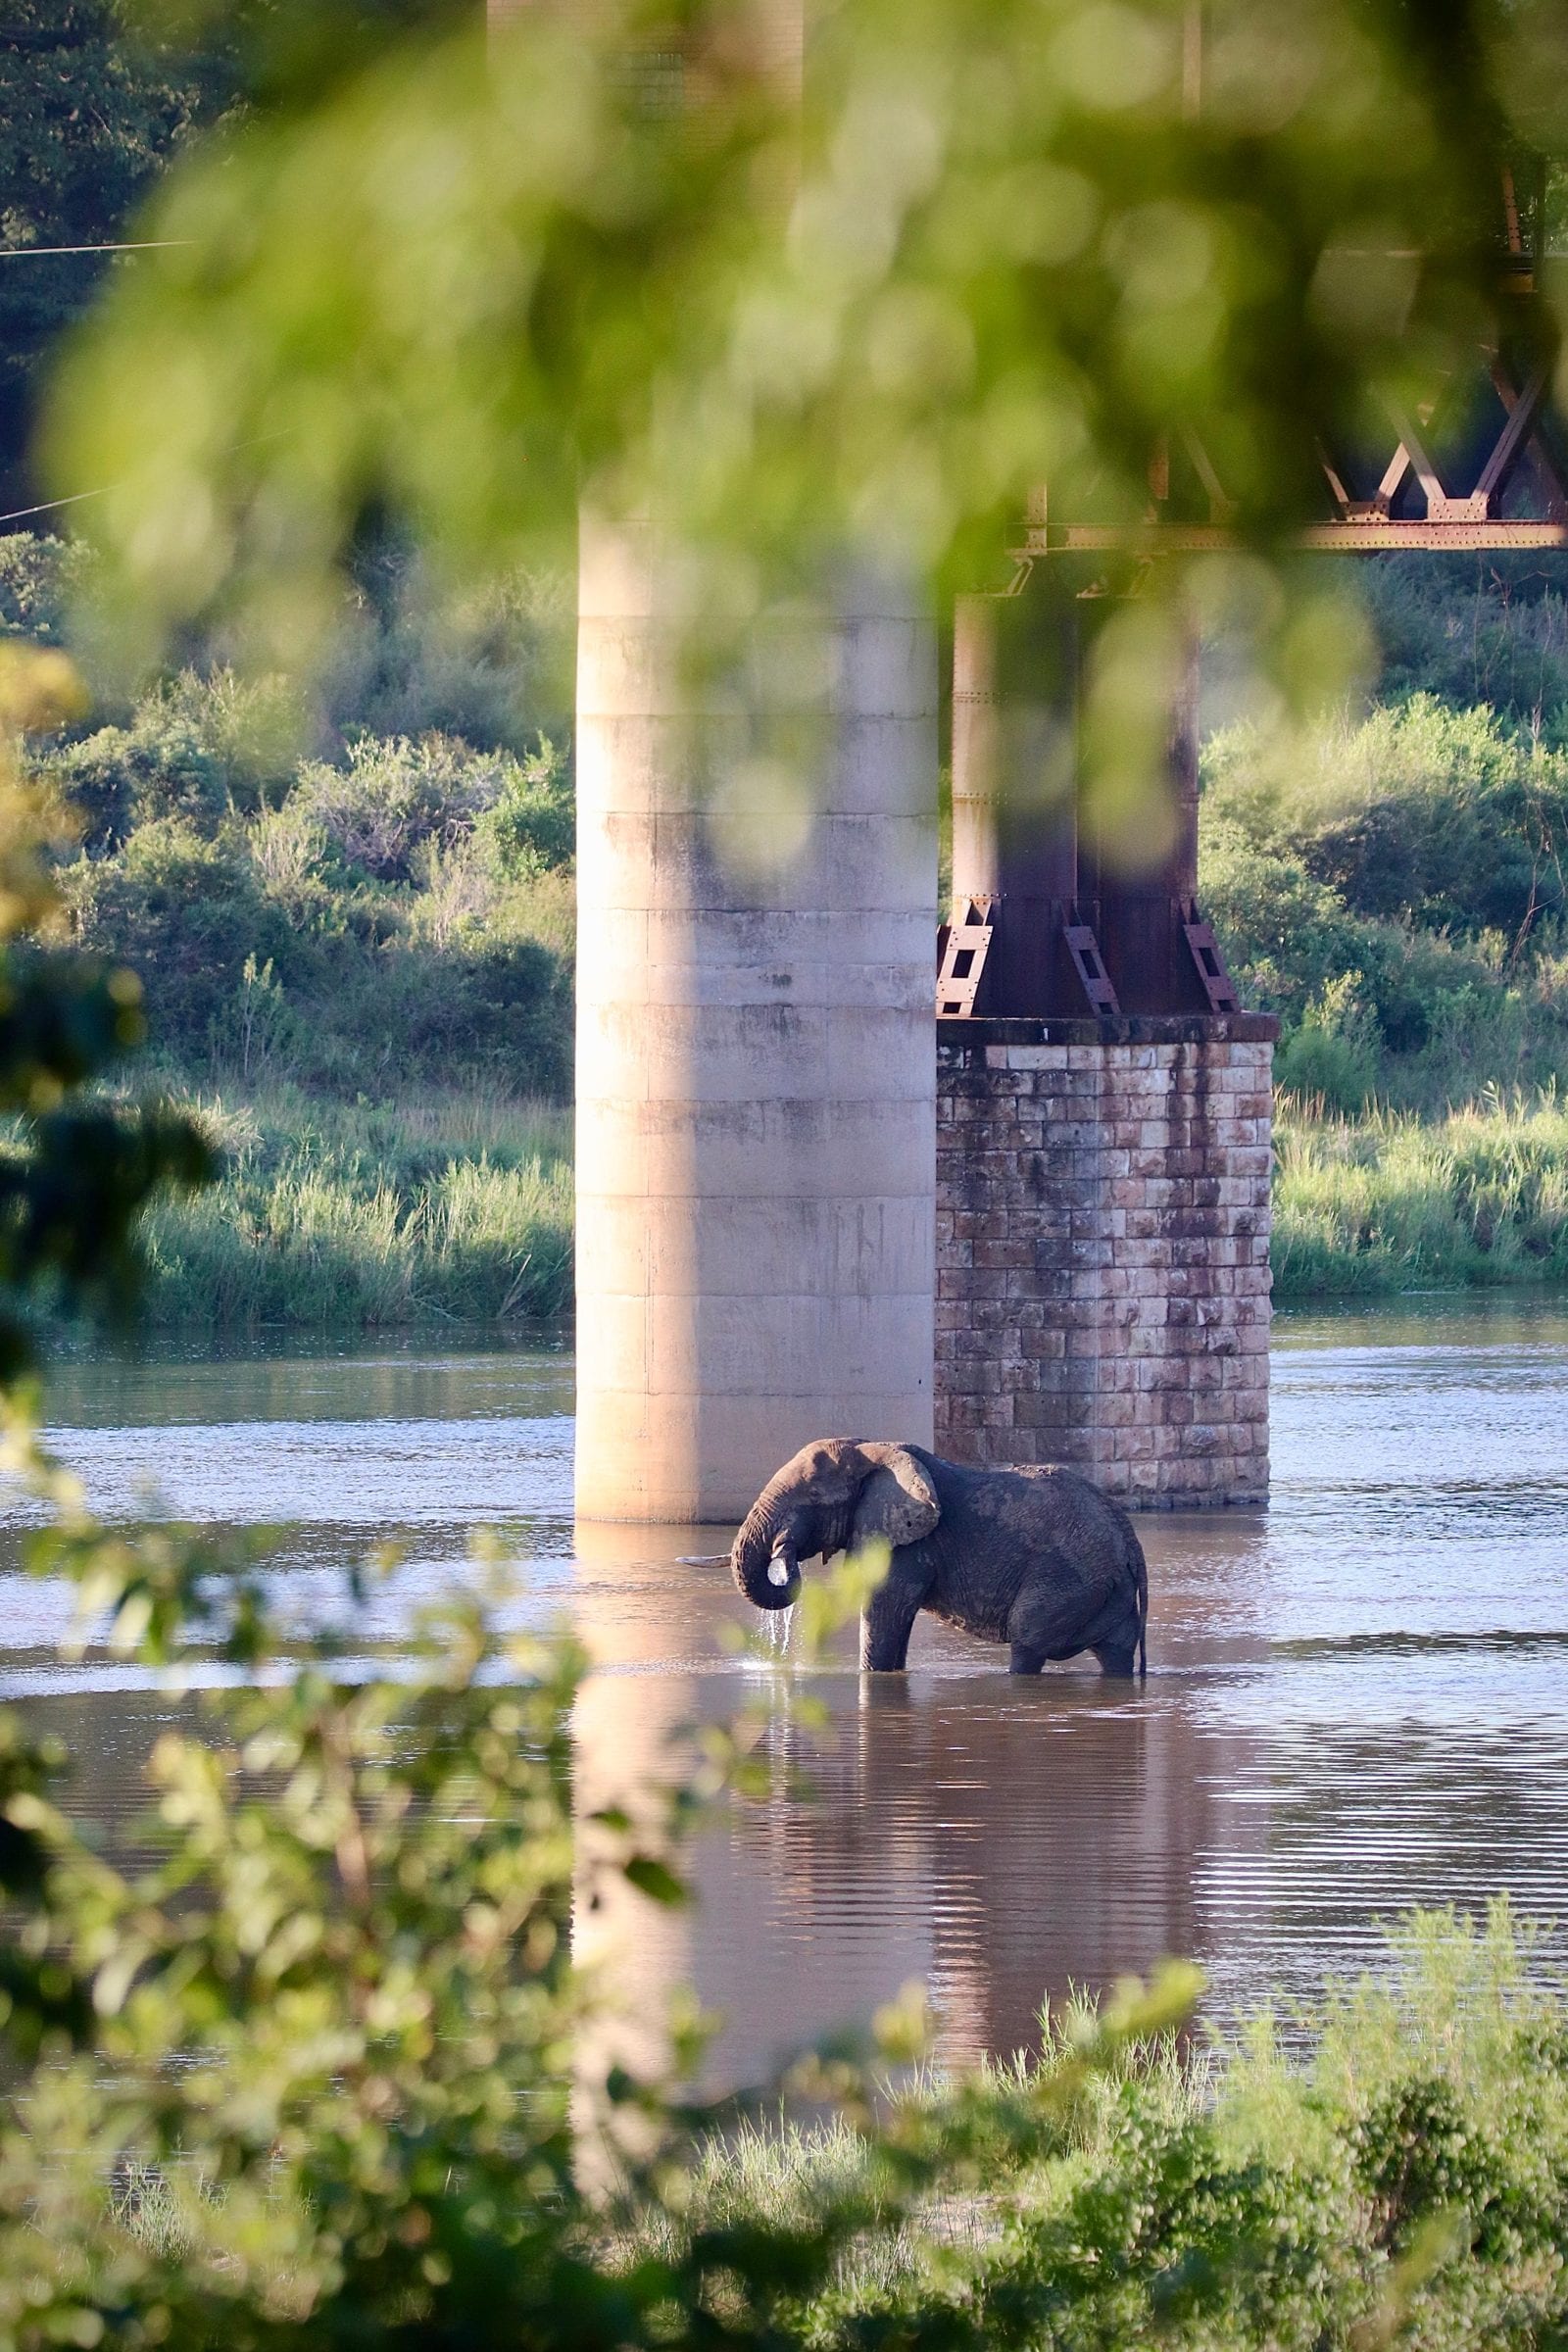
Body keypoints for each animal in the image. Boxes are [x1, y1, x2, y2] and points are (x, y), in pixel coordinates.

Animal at [731, 1438, 1148, 1677]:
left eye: (813, 1497)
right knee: (1116, 1652)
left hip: (1067, 1582)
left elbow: (884, 1609)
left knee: (1027, 1642)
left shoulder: (908, 1546)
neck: (874, 1449)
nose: (785, 1550)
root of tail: (1130, 1540)